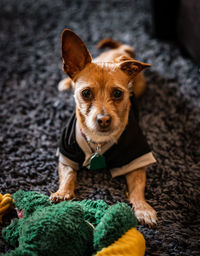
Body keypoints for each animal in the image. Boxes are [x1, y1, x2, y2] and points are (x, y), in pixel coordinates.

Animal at [50, 29, 158, 227]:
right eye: (85, 93)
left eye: (118, 93)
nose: (104, 119)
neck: (99, 142)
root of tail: (121, 51)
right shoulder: (66, 155)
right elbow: (68, 175)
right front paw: (63, 192)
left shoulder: (136, 159)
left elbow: (138, 189)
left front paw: (143, 209)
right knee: (69, 76)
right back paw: (66, 82)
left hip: (141, 86)